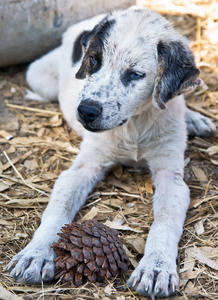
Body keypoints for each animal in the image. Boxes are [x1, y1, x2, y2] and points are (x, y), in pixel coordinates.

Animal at [7, 6, 216, 298]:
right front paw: (35, 255)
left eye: (135, 75)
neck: (133, 125)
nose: (86, 111)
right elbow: (58, 209)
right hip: (39, 76)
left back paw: (194, 120)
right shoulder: (83, 167)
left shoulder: (171, 177)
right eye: (94, 61)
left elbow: (165, 221)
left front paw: (156, 268)